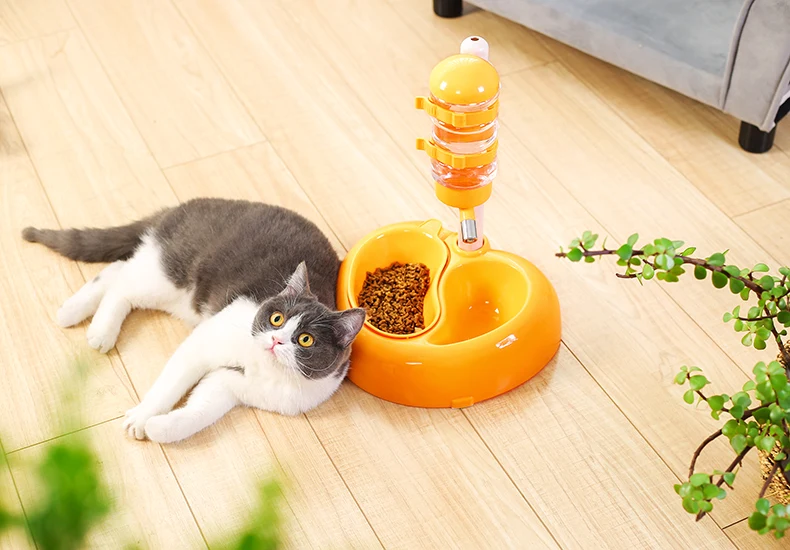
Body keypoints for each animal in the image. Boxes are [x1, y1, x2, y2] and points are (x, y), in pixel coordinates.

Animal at [23, 198, 366, 444]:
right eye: (276, 318)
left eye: (306, 340)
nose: (275, 339)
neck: (265, 370)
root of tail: (179, 208)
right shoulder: (204, 343)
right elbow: (171, 383)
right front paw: (142, 416)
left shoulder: (230, 385)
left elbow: (200, 412)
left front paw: (158, 427)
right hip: (170, 276)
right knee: (123, 283)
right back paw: (94, 327)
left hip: (174, 294)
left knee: (119, 270)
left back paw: (75, 312)